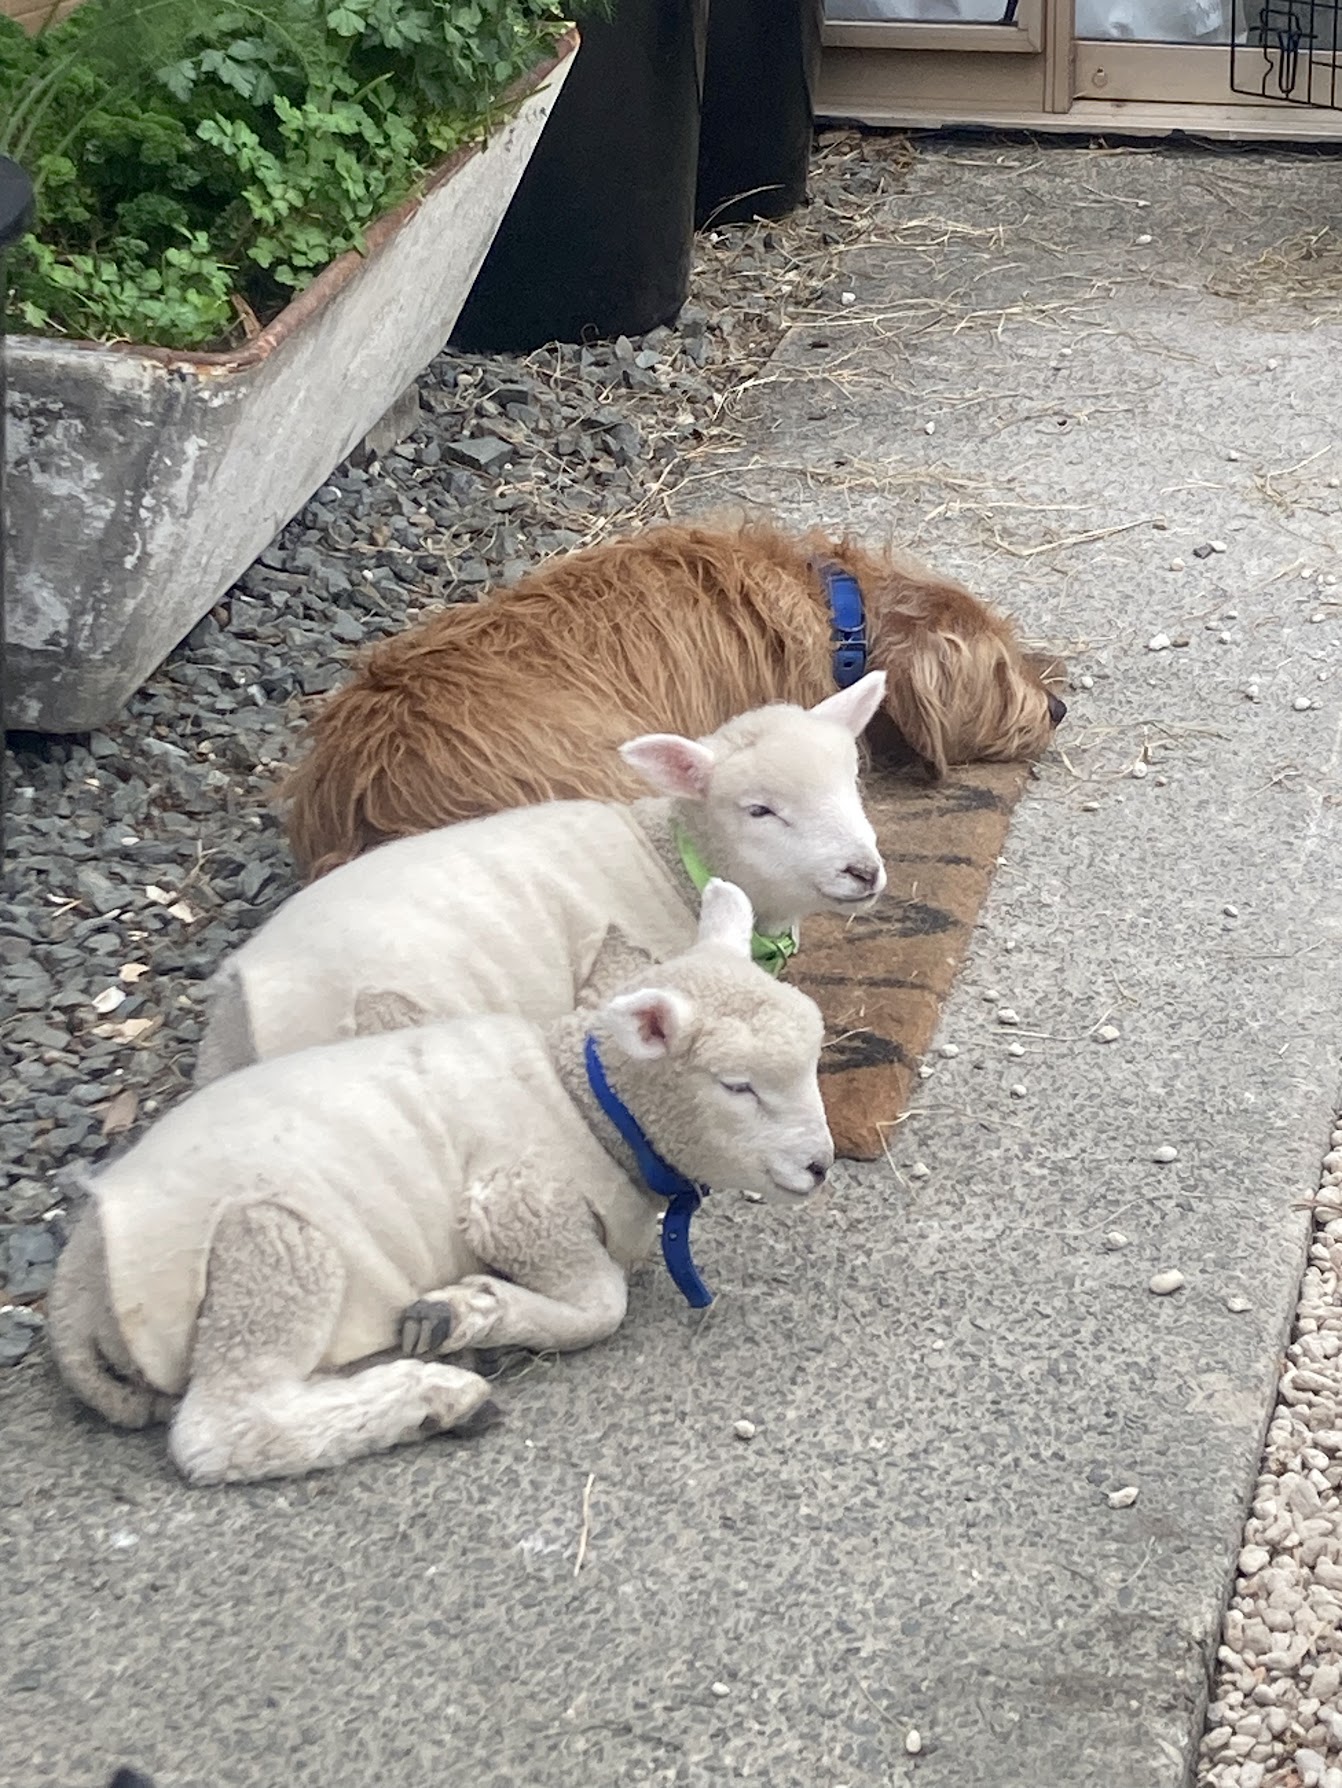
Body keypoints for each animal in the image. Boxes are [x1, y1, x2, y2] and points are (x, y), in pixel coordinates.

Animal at [48, 881, 833, 1485]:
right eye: (737, 1086)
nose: (821, 1165)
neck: (593, 1105)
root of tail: (74, 1292)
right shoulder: (517, 1204)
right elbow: (601, 1306)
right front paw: (474, 1310)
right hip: (269, 1253)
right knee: (222, 1428)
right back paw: (435, 1397)